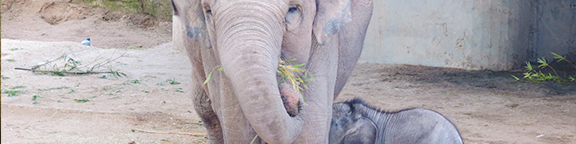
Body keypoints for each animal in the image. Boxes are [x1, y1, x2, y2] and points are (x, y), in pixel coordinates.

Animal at [171, 0, 374, 143]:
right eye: (208, 11)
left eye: (293, 9)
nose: (291, 96)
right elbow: (239, 130)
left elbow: (310, 131)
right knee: (208, 114)